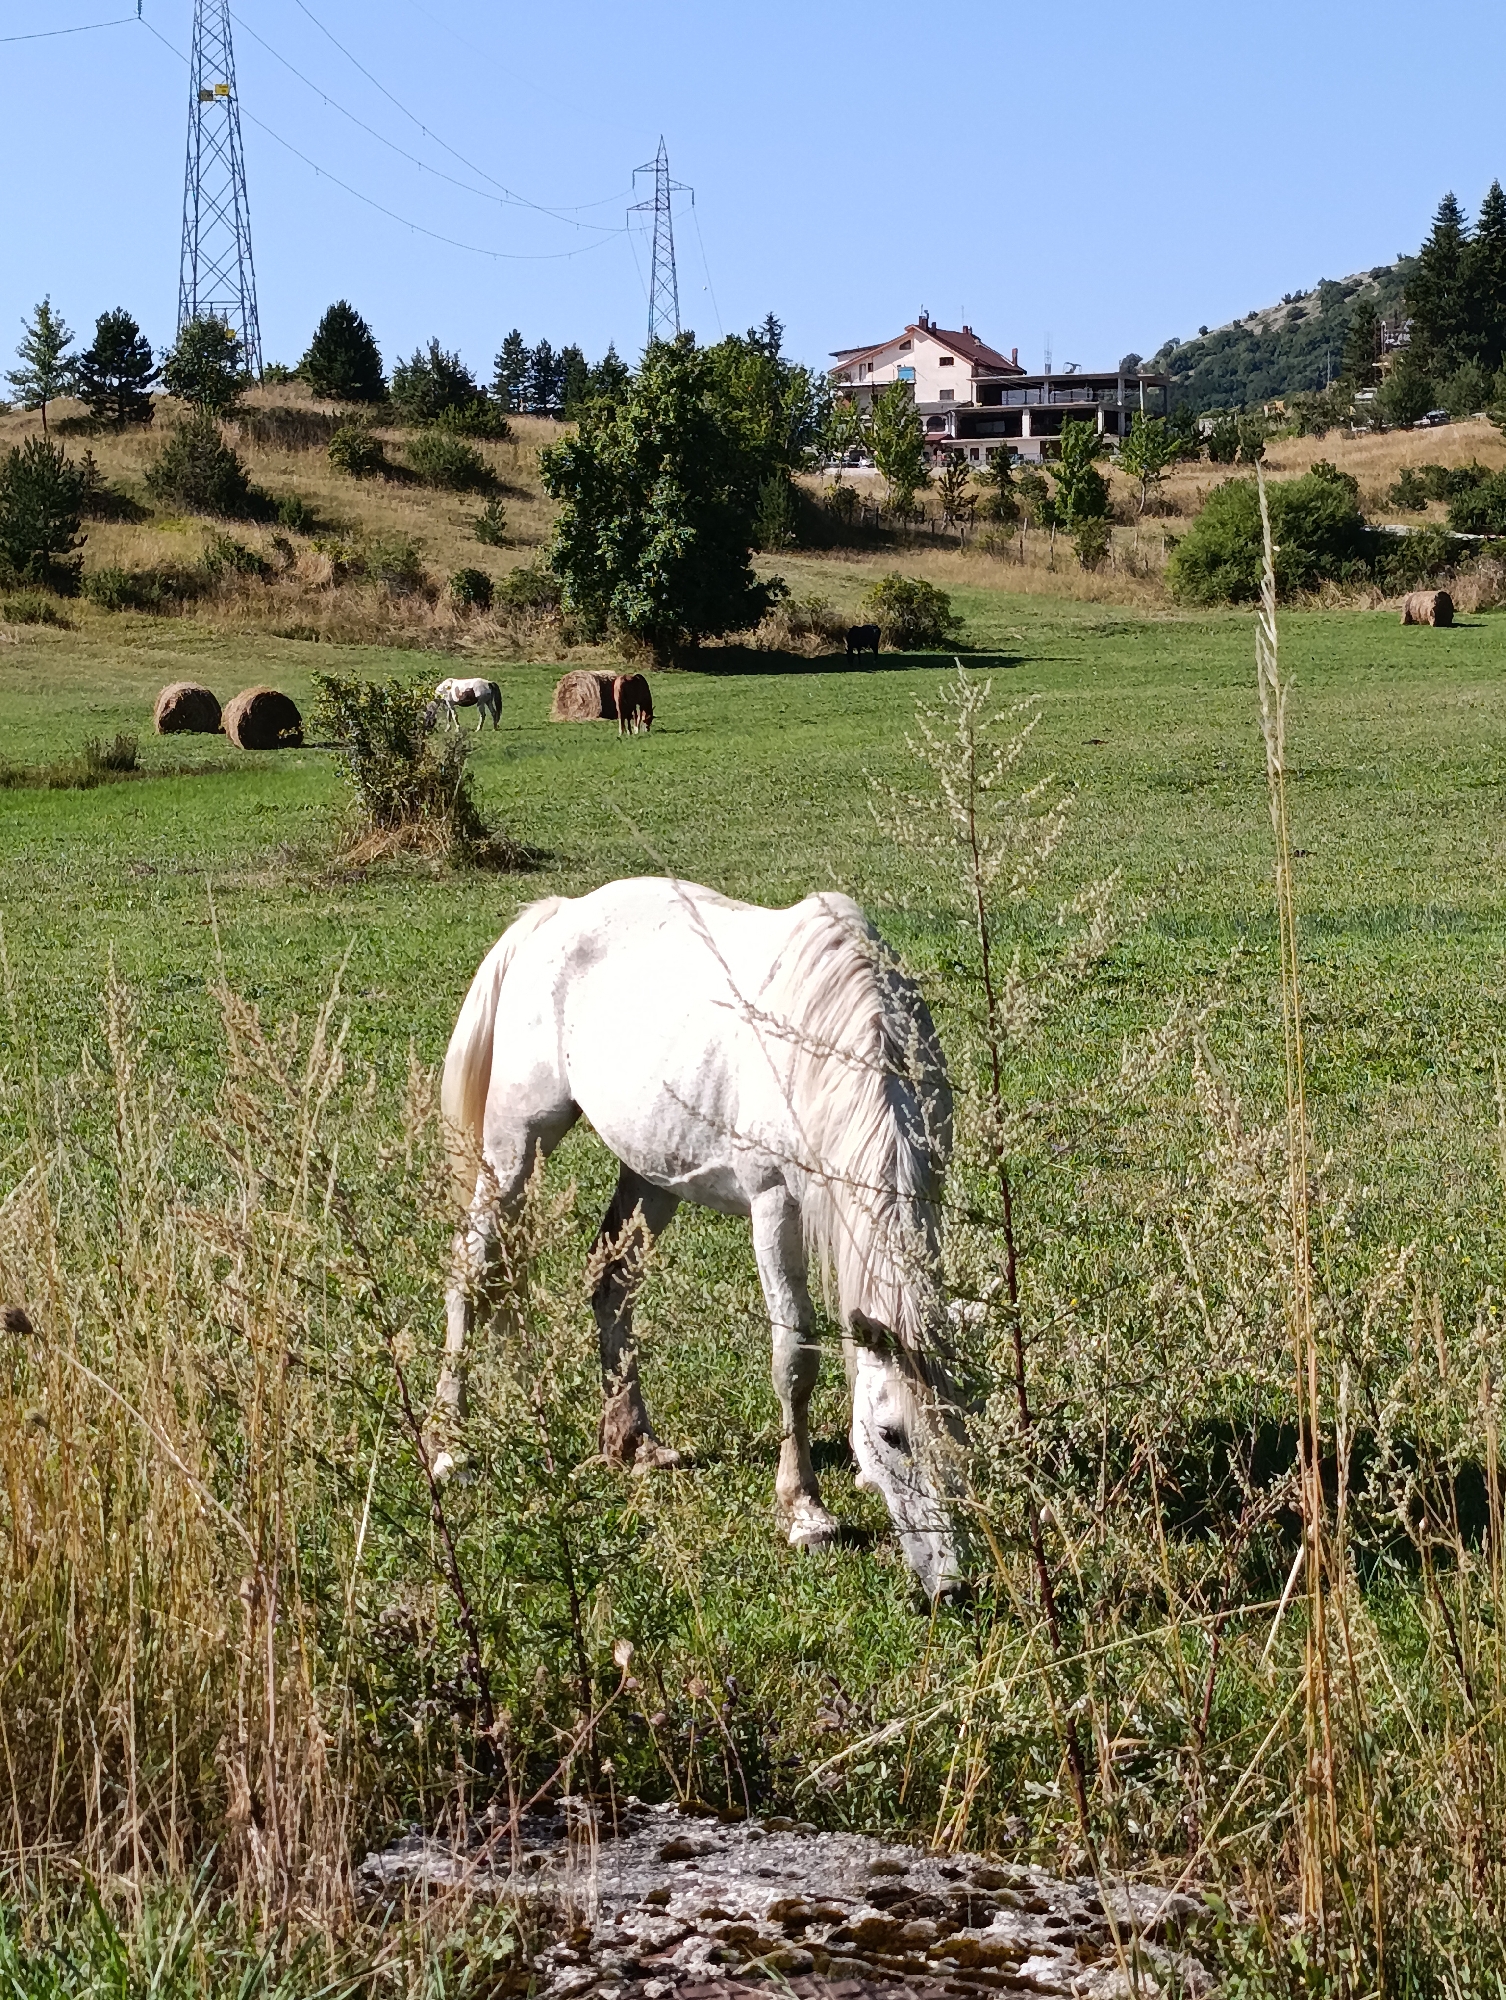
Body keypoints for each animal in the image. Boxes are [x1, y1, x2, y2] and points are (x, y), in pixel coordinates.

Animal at [434, 876, 965, 1599]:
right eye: (891, 1435)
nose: (950, 1585)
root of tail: (555, 917)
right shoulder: (775, 1207)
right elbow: (795, 1354)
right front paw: (805, 1511)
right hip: (515, 1147)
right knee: (470, 1269)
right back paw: (450, 1448)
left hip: (653, 1173)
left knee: (611, 1284)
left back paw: (633, 1442)